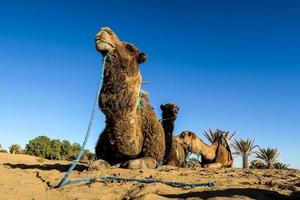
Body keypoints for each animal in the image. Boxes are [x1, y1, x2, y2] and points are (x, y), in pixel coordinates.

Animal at [94, 27, 165, 170]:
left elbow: (135, 163)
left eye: (129, 47)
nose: (105, 30)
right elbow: (98, 163)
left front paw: (129, 163)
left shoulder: (153, 155)